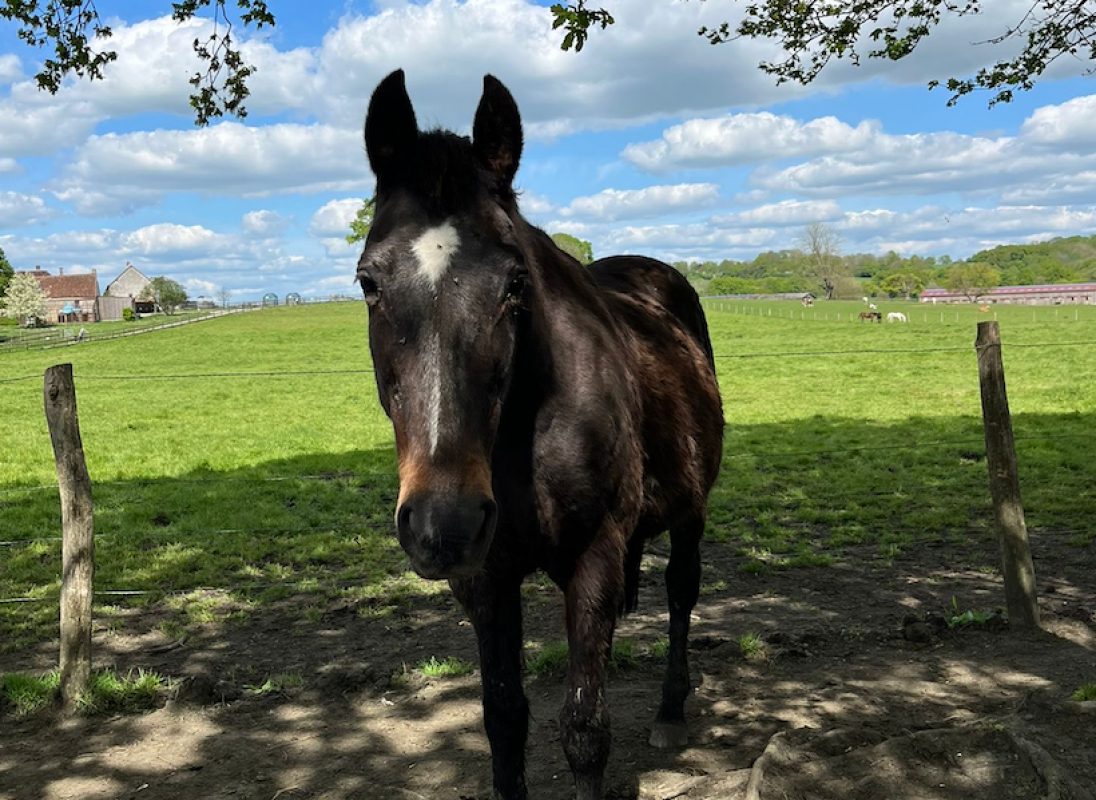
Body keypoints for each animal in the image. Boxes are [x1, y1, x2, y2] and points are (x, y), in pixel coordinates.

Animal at [358, 70, 724, 800]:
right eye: (369, 282)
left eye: (515, 282)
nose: (444, 524)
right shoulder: (486, 580)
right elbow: (504, 719)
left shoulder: (593, 557)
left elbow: (584, 729)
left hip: (691, 513)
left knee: (681, 594)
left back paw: (671, 710)